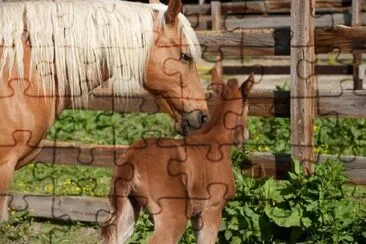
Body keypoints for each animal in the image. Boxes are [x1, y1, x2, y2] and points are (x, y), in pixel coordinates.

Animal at [100, 71, 254, 244]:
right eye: (248, 108)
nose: (245, 136)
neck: (216, 140)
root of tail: (131, 158)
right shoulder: (212, 210)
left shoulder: (197, 215)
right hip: (174, 217)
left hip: (128, 209)